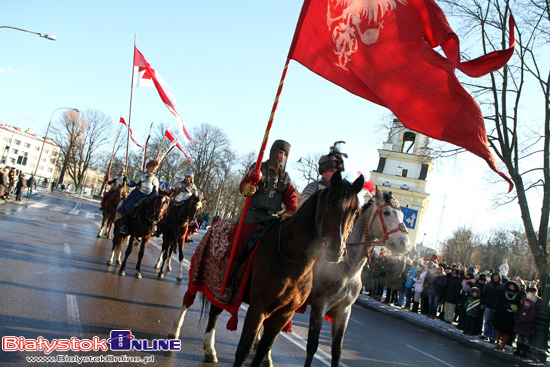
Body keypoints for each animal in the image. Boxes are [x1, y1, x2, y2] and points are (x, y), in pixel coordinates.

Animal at [168, 172, 366, 367]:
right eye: (329, 205)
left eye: (356, 212)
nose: (337, 251)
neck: (292, 258)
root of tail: (216, 225)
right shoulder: (259, 308)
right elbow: (243, 349)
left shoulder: (284, 314)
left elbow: (264, 348)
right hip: (201, 273)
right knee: (189, 300)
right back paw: (174, 332)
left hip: (220, 287)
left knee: (215, 312)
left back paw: (210, 350)